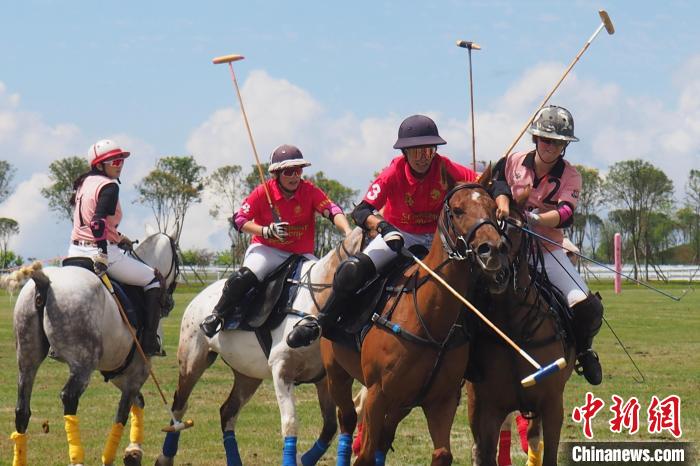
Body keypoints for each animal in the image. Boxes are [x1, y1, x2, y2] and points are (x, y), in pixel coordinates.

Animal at [5, 235, 178, 466]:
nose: (168, 303)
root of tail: (44, 282)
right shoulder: (138, 369)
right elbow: (123, 412)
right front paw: (116, 454)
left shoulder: (119, 369)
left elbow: (138, 402)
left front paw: (133, 452)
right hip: (83, 363)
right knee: (69, 397)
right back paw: (77, 457)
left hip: (27, 356)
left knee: (22, 409)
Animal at [322, 182, 508, 466]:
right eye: (457, 210)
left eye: (493, 209)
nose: (493, 249)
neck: (431, 321)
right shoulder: (377, 393)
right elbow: (364, 454)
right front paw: (392, 235)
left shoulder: (442, 400)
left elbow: (442, 453)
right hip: (337, 372)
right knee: (348, 420)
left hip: (402, 402)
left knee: (384, 438)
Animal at [464, 208, 576, 466]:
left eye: (515, 227)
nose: (494, 268)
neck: (513, 329)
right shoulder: (488, 408)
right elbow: (485, 453)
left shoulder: (552, 403)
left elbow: (549, 453)